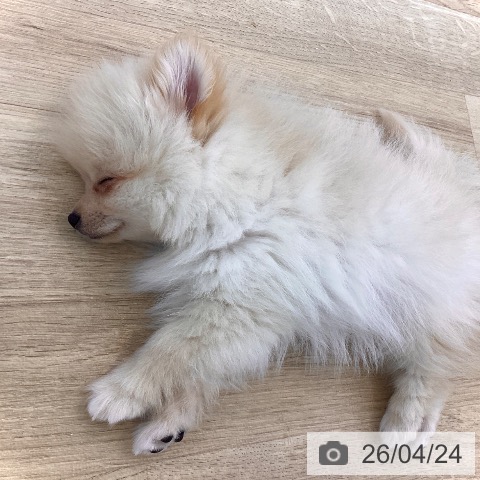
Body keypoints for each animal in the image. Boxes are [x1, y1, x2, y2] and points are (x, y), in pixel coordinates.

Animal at [55, 34, 480, 455]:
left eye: (107, 181)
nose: (72, 217)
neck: (236, 192)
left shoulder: (239, 301)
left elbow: (170, 351)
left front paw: (120, 392)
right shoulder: (252, 312)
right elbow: (203, 368)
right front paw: (170, 420)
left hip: (431, 301)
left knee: (435, 363)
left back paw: (407, 420)